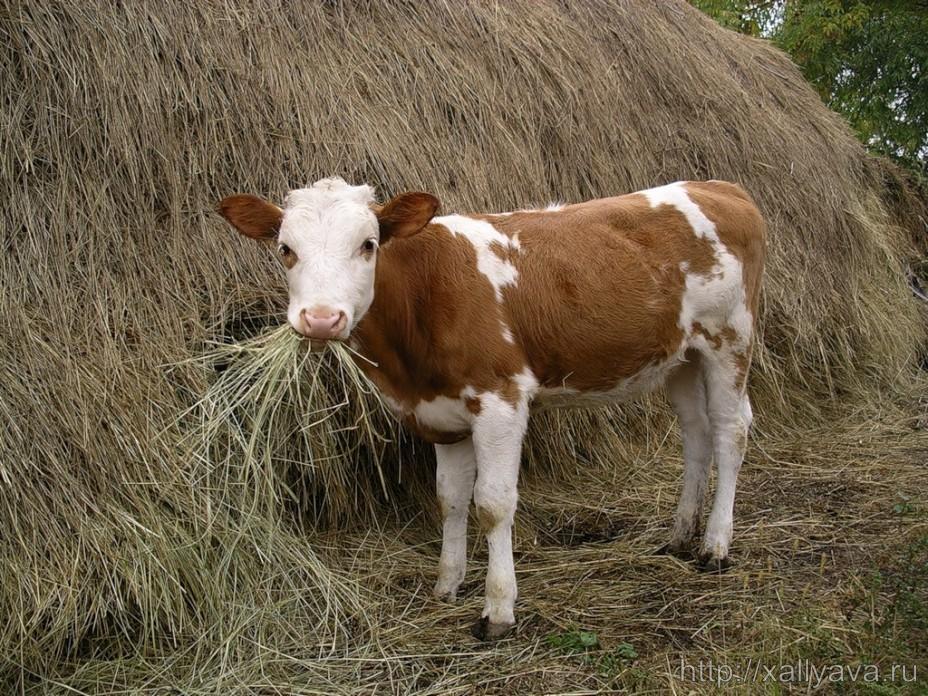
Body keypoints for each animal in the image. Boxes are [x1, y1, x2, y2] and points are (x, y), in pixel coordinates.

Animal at [219, 177, 768, 640]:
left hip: (729, 338)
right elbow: (450, 499)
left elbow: (493, 503)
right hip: (680, 357)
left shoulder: (501, 399)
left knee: (730, 430)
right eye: (285, 249)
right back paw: (679, 536)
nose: (320, 318)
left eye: (368, 244)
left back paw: (714, 546)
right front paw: (448, 584)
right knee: (695, 433)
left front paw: (498, 609)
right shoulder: (440, 414)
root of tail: (721, 186)